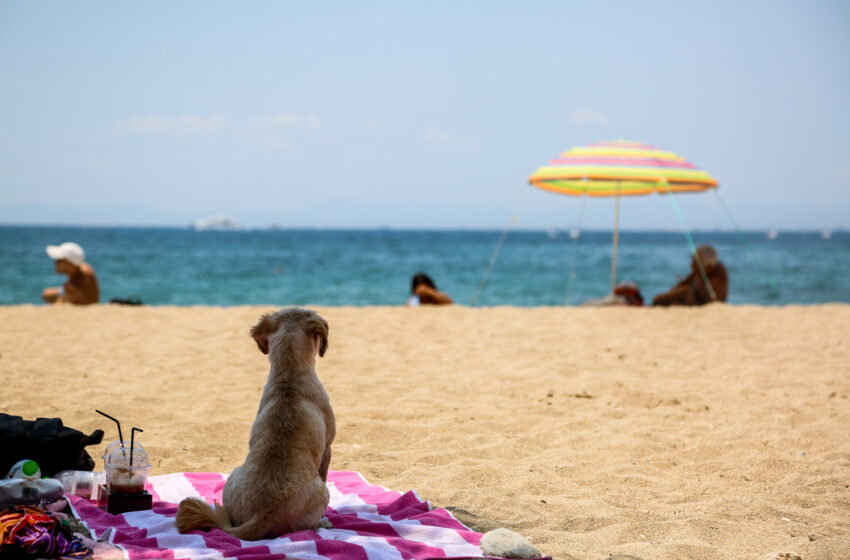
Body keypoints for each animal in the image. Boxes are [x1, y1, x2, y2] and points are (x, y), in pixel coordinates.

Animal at [174, 308, 332, 540]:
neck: (289, 377)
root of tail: (263, 513)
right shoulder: (328, 448)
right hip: (321, 492)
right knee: (303, 526)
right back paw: (321, 523)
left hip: (232, 478)